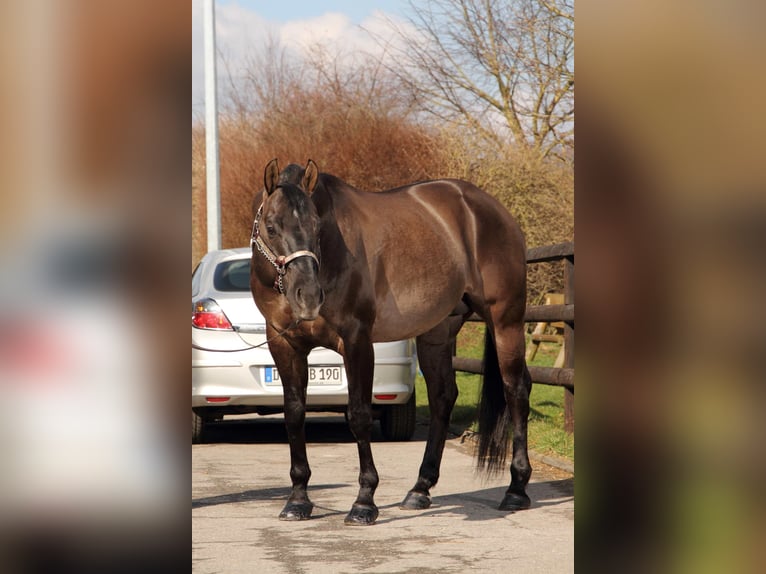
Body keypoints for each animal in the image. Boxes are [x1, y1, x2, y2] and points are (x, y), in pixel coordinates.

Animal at [249, 158, 532, 525]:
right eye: (271, 226)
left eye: (316, 225)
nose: (308, 296)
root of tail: (492, 210)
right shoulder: (284, 345)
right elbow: (294, 414)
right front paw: (297, 499)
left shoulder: (356, 341)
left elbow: (358, 415)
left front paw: (364, 502)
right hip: (437, 333)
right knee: (443, 397)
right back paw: (420, 489)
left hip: (505, 321)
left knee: (516, 390)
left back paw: (516, 490)